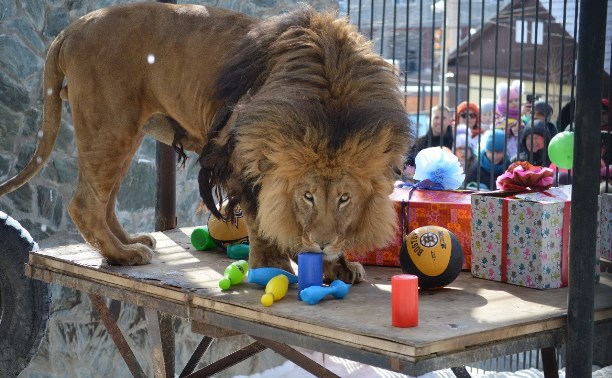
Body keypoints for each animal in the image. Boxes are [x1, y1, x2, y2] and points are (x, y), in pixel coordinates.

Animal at [1, 2, 412, 280]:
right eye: (307, 196)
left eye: (345, 198)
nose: (323, 244)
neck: (331, 111)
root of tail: (71, 29)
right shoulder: (240, 151)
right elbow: (260, 216)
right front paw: (274, 265)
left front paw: (338, 263)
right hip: (110, 125)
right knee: (85, 204)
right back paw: (124, 255)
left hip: (123, 132)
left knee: (105, 201)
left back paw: (132, 241)